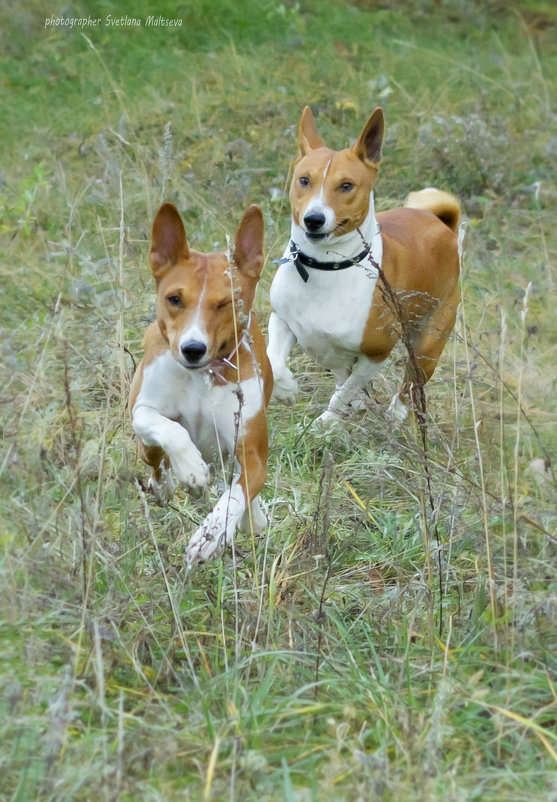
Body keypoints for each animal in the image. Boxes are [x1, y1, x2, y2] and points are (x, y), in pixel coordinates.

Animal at [128, 203, 272, 564]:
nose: (192, 349)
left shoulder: (252, 453)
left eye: (225, 303)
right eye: (174, 299)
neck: (199, 377)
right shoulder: (142, 409)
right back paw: (165, 484)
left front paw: (212, 534)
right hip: (144, 445)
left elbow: (238, 492)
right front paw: (191, 469)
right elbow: (170, 429)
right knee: (155, 458)